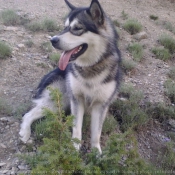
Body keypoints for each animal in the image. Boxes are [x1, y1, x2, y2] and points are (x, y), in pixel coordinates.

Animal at [18, 0, 121, 153]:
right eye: (65, 27)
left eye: (77, 28)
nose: (53, 40)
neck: (90, 68)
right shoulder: (77, 99)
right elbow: (76, 127)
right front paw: (74, 147)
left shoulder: (101, 105)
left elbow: (96, 133)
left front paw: (96, 153)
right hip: (60, 99)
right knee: (28, 114)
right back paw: (25, 133)